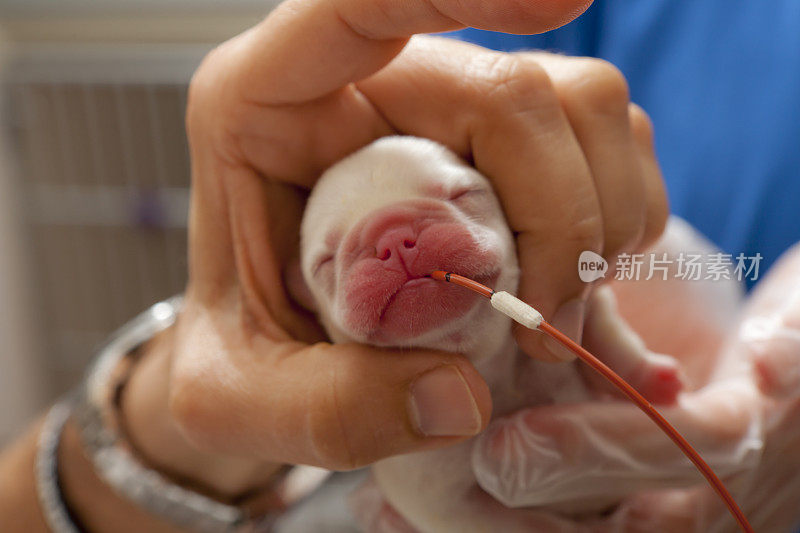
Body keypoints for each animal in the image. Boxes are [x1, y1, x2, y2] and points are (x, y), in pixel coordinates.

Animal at [298, 138, 680, 532]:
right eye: (324, 262)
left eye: (466, 193)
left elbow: (610, 335)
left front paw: (656, 381)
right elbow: (525, 524)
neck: (490, 366)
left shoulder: (583, 309)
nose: (392, 234)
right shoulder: (441, 501)